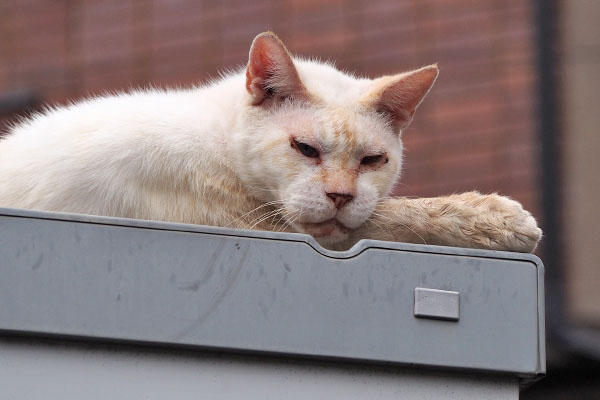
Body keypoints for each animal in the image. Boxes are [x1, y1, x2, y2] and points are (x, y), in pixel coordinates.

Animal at [0, 32, 540, 253]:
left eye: (372, 160)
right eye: (305, 150)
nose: (340, 196)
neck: (219, 144)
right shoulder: (243, 223)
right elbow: (390, 217)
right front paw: (496, 219)